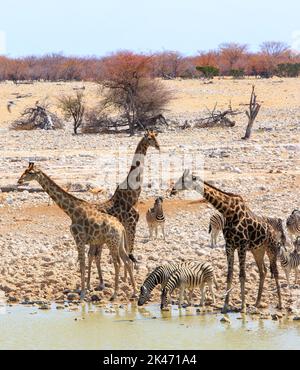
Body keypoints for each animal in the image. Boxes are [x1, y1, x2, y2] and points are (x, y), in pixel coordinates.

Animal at [17, 164, 137, 300]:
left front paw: (83, 293)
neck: (71, 212)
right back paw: (134, 292)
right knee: (127, 260)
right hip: (119, 244)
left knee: (117, 263)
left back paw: (115, 294)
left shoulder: (79, 239)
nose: (19, 181)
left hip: (112, 243)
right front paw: (83, 290)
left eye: (30, 172)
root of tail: (121, 227)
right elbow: (84, 262)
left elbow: (82, 264)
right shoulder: (84, 241)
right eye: (25, 170)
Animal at [88, 132, 161, 290]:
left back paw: (98, 282)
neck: (132, 195)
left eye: (156, 136)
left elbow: (127, 251)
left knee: (94, 255)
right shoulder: (132, 224)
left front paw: (125, 279)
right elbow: (130, 251)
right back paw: (94, 284)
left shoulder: (127, 226)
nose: (158, 146)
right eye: (149, 138)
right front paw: (128, 281)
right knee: (93, 254)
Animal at [171, 170, 284, 312]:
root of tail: (274, 232)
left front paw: (243, 307)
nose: (172, 190)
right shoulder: (229, 246)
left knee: (276, 272)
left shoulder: (241, 245)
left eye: (183, 180)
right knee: (263, 271)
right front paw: (225, 306)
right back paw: (257, 303)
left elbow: (242, 275)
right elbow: (229, 275)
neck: (229, 211)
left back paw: (280, 303)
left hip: (271, 249)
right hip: (257, 250)